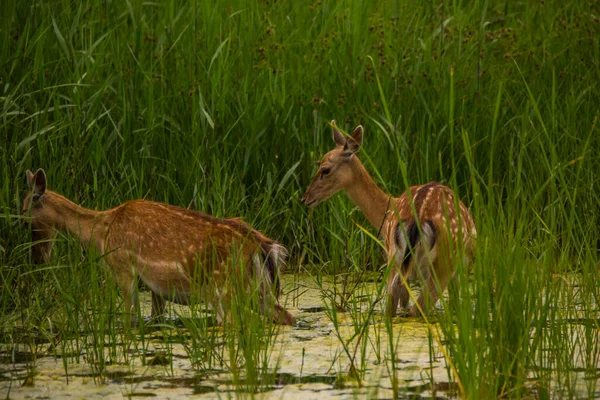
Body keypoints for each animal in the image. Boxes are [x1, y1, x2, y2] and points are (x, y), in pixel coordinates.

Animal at [22, 170, 296, 328]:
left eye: (24, 217)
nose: (36, 259)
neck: (101, 232)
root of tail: (263, 247)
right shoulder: (156, 287)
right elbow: (155, 317)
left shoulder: (123, 269)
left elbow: (130, 316)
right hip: (256, 289)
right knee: (285, 316)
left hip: (224, 287)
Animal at [302, 120, 476, 318]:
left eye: (325, 169)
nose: (305, 198)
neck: (387, 211)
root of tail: (418, 218)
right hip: (444, 260)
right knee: (419, 306)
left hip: (397, 258)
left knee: (393, 300)